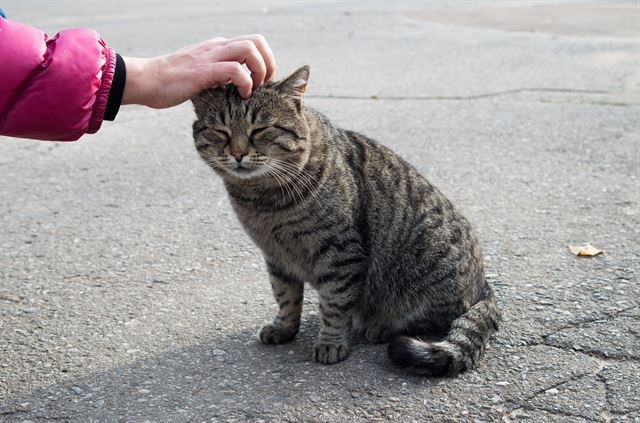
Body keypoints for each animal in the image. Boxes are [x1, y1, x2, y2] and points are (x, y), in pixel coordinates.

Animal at [190, 67, 500, 378]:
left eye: (261, 130)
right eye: (221, 131)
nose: (238, 154)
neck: (262, 200)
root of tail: (483, 285)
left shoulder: (340, 252)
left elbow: (335, 304)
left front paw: (331, 342)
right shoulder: (276, 256)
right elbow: (285, 296)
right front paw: (284, 327)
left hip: (426, 263)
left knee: (434, 318)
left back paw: (381, 326)